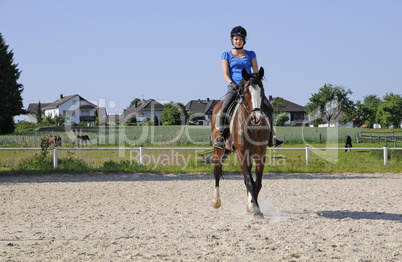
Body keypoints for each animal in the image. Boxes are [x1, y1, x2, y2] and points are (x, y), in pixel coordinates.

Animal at [210, 67, 270, 219]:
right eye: (246, 91)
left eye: (262, 90)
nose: (257, 118)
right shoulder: (241, 154)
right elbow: (249, 181)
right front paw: (256, 210)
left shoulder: (260, 155)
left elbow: (256, 183)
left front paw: (253, 207)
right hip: (218, 150)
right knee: (217, 171)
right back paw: (216, 201)